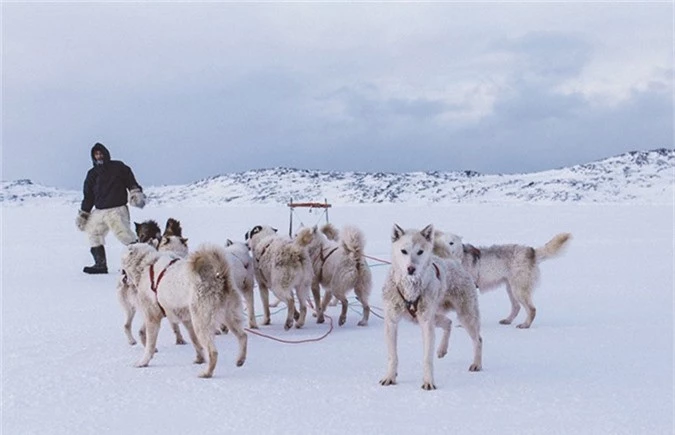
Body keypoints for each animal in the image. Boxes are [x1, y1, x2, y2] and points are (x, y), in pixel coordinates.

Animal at [122, 242, 248, 378]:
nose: (123, 279)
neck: (147, 265)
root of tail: (219, 278)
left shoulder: (152, 318)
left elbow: (150, 345)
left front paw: (143, 362)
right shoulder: (187, 321)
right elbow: (195, 342)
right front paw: (199, 359)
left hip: (201, 324)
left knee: (213, 352)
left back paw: (206, 373)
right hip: (229, 318)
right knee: (243, 336)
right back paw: (240, 360)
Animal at [382, 225, 484, 392]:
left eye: (420, 251)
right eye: (404, 251)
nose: (411, 268)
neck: (410, 289)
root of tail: (452, 262)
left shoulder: (426, 325)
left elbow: (427, 359)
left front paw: (428, 382)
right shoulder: (391, 322)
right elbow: (392, 356)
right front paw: (390, 377)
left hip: (465, 316)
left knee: (478, 340)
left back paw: (476, 364)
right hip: (432, 317)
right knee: (448, 323)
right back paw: (442, 349)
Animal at [436, 230, 572, 328]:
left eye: (451, 243)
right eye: (440, 244)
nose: (444, 250)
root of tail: (531, 251)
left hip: (518, 290)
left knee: (532, 309)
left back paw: (525, 325)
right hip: (511, 289)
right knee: (517, 307)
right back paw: (508, 320)